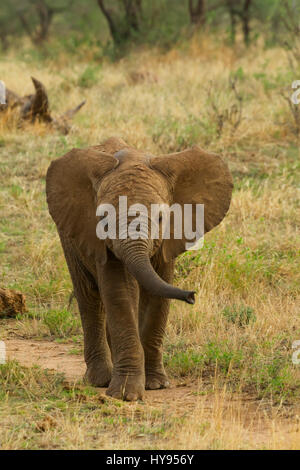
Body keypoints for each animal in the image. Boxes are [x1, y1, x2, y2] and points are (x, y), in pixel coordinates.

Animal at [45, 138, 233, 402]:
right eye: (103, 220)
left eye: (162, 218)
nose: (192, 296)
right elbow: (120, 293)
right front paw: (125, 395)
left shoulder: (168, 240)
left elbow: (157, 295)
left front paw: (156, 385)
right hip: (69, 237)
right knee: (89, 297)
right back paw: (99, 380)